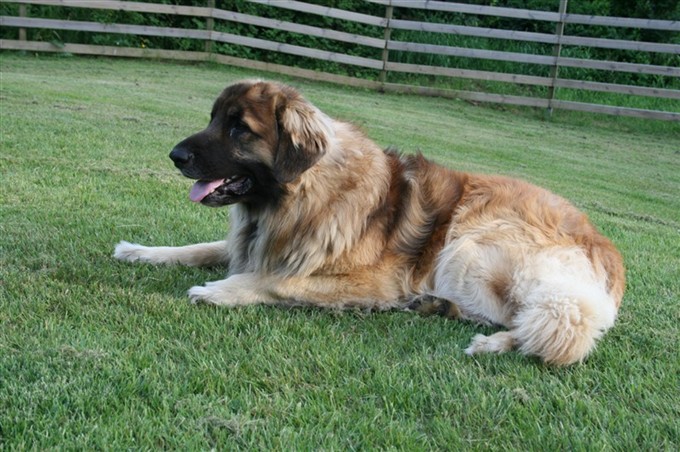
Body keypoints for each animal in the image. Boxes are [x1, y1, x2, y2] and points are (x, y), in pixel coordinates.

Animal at [114, 79, 624, 366]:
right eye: (214, 118)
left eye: (240, 129)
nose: (175, 156)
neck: (302, 195)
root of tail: (609, 252)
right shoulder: (256, 241)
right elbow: (202, 248)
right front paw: (140, 251)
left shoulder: (372, 280)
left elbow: (276, 280)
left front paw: (221, 290)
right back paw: (437, 307)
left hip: (470, 244)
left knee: (559, 327)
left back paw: (493, 343)